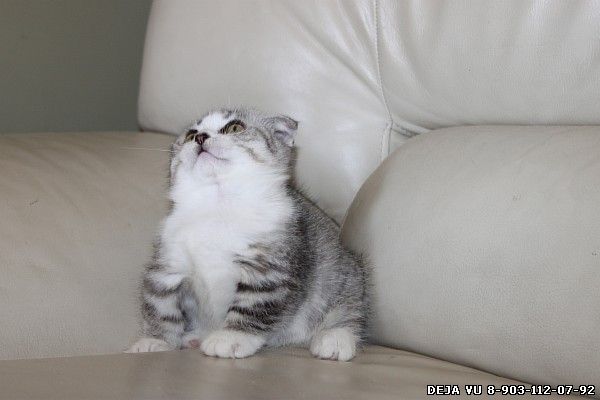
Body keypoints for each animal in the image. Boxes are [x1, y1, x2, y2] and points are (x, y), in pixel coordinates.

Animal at [126, 108, 368, 361]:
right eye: (191, 134)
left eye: (235, 127)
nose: (200, 137)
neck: (217, 208)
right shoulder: (166, 265)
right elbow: (159, 306)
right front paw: (156, 340)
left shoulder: (269, 269)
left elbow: (253, 306)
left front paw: (231, 337)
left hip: (344, 275)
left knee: (350, 311)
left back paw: (335, 337)